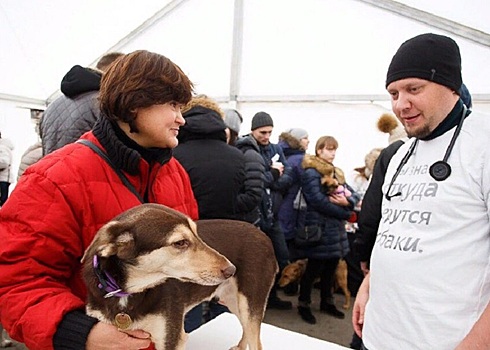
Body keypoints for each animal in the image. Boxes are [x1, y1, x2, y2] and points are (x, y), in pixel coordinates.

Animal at [82, 204, 278, 348]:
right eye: (180, 243)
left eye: (197, 234)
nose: (232, 269)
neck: (129, 292)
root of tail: (264, 236)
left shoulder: (171, 338)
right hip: (234, 302)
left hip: (249, 304)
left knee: (256, 340)